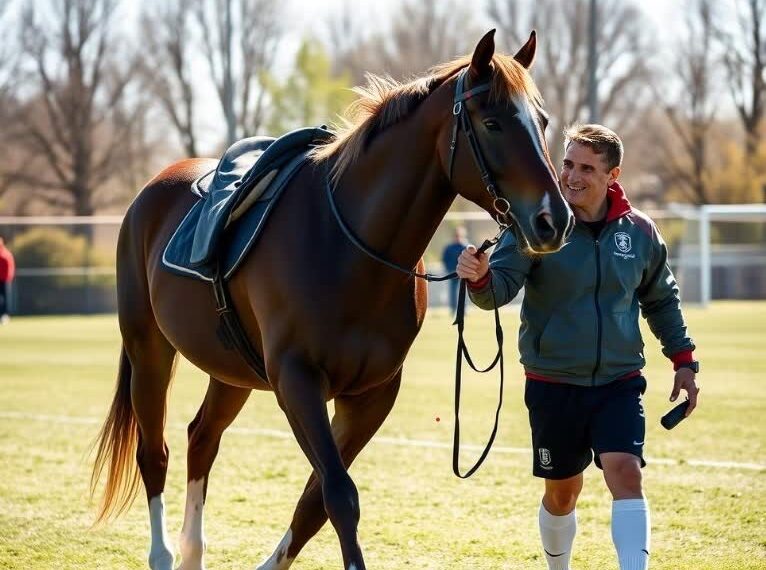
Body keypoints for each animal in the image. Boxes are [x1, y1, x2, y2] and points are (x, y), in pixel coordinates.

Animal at [90, 30, 573, 570]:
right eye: (492, 123)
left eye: (543, 121)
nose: (554, 220)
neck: (349, 245)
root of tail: (152, 189)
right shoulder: (297, 382)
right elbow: (339, 495)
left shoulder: (371, 396)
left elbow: (314, 502)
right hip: (148, 348)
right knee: (155, 452)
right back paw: (164, 553)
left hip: (231, 370)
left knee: (202, 439)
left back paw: (193, 551)